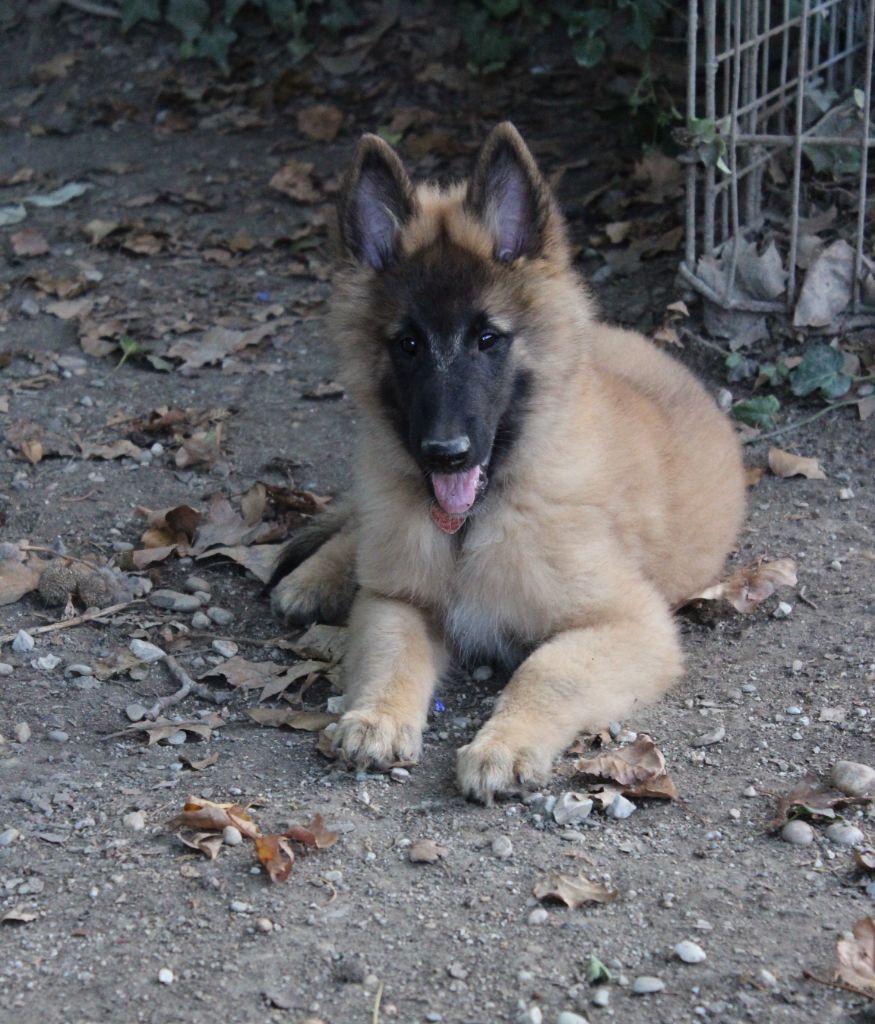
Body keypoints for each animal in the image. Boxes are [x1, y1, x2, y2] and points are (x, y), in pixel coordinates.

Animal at [272, 123, 745, 802]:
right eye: (408, 344)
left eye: (488, 339)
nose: (445, 454)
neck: (475, 520)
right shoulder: (398, 598)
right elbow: (392, 653)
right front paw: (378, 717)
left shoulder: (630, 624)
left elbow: (548, 671)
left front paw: (505, 745)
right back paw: (314, 579)